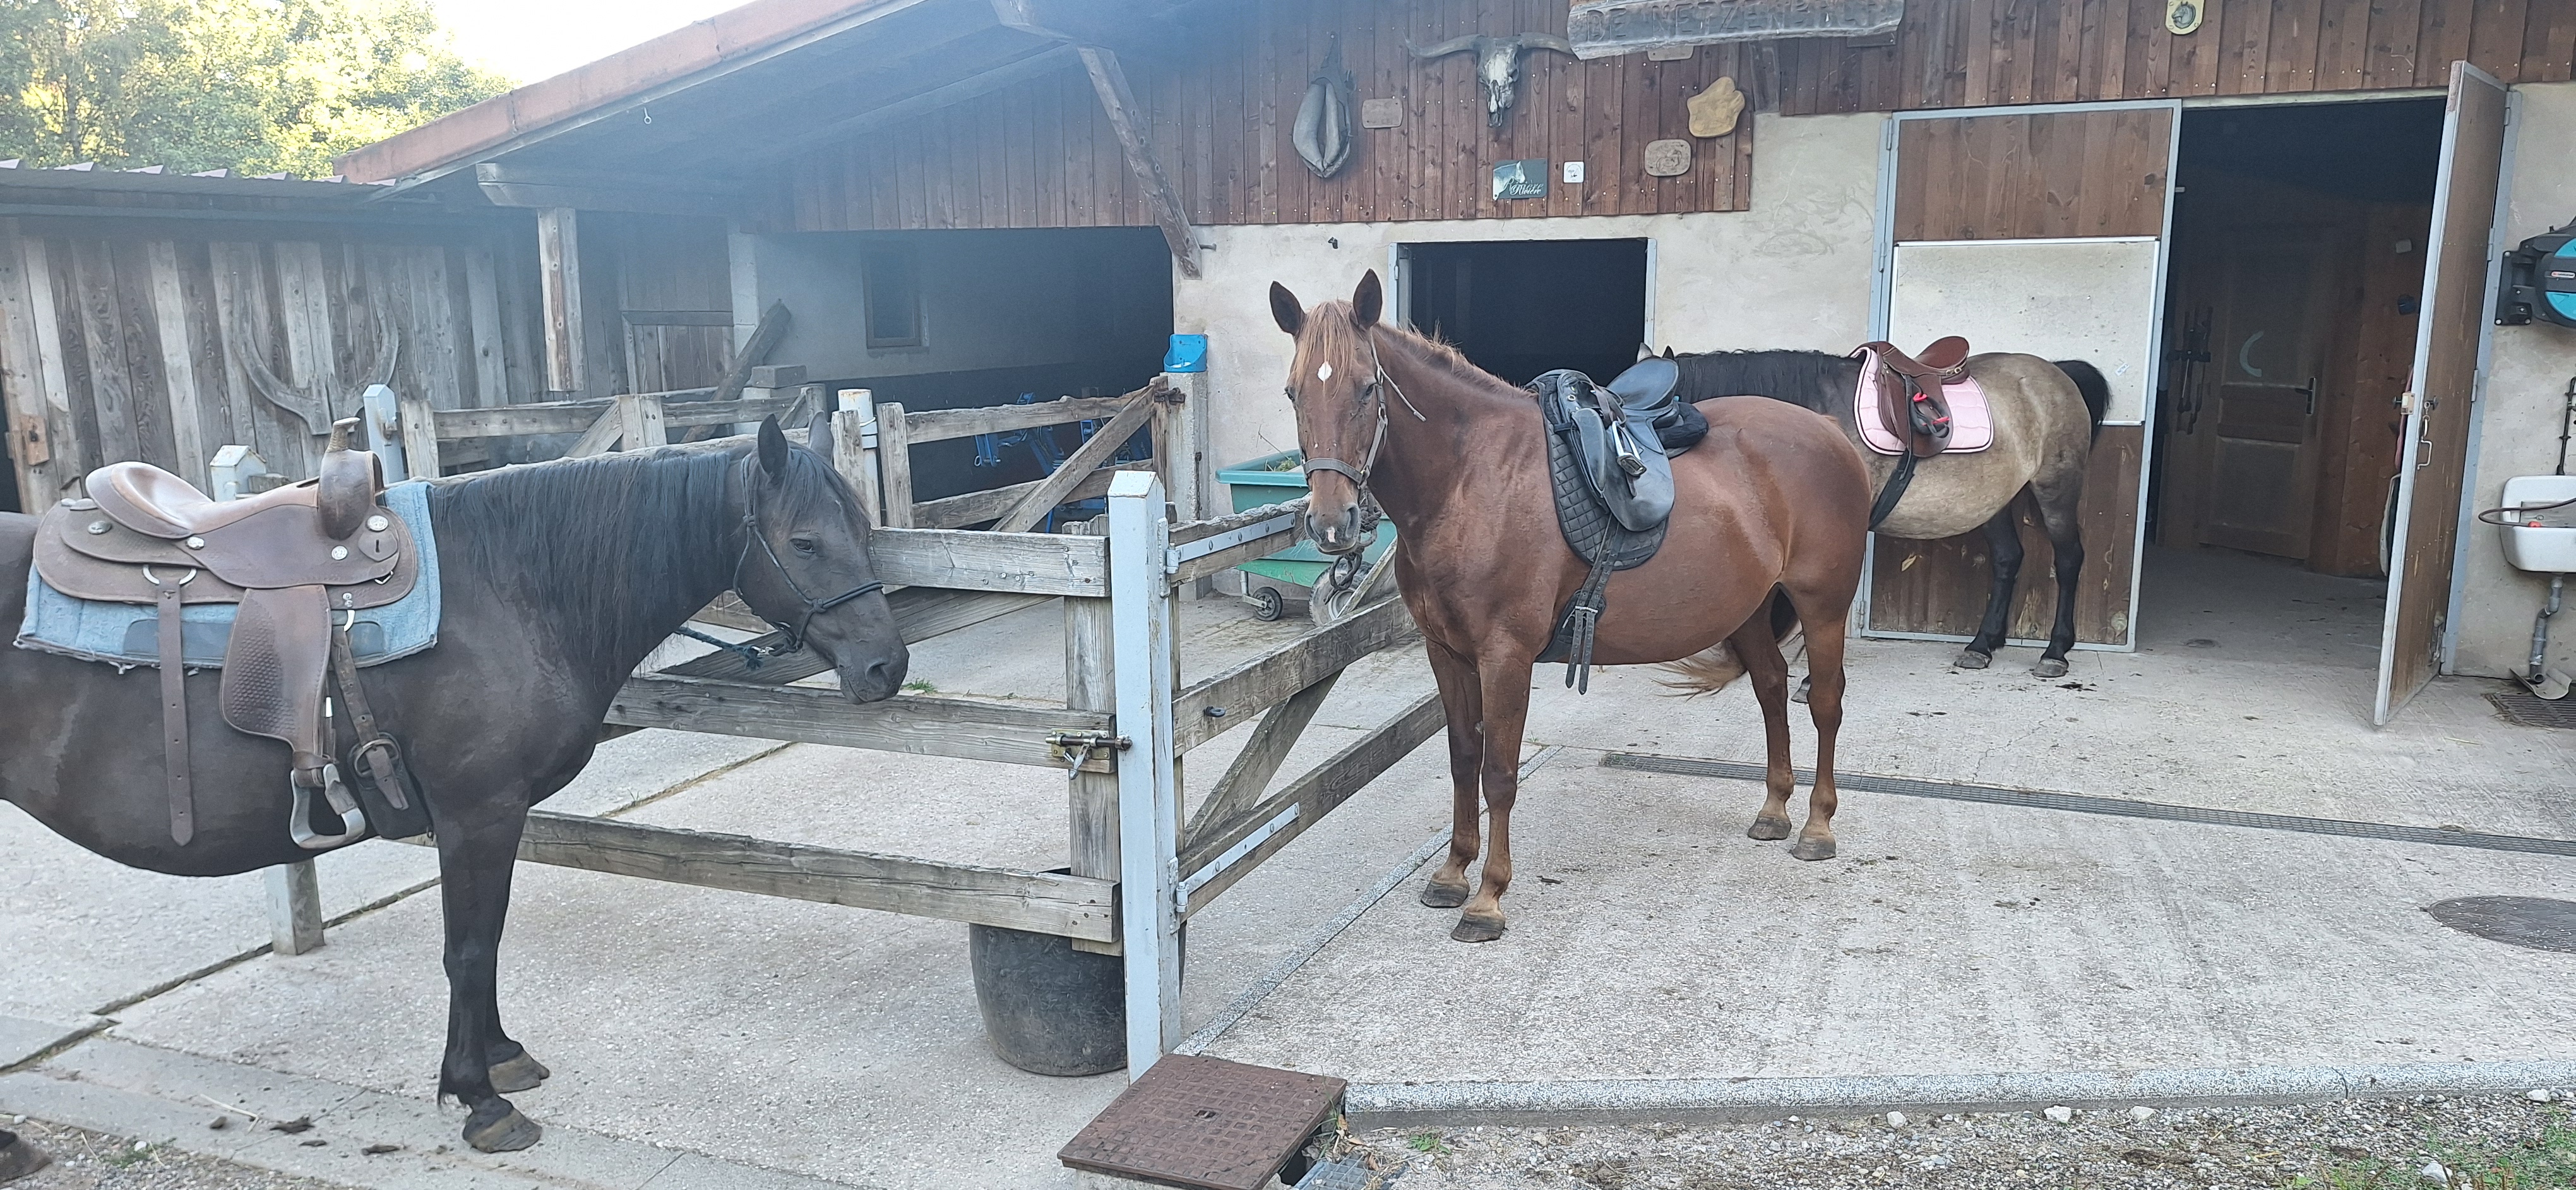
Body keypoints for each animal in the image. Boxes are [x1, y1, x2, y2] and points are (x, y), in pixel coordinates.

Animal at [0, 416, 907, 1154]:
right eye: (804, 543)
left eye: (863, 530)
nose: (886, 667)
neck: (505, 588)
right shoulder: (478, 812)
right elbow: (469, 947)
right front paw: (478, 1099)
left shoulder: (486, 818)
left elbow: (487, 942)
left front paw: (501, 1060)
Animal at [1270, 273, 1873, 943]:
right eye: (1294, 392)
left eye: (1367, 387)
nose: (1332, 524)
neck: (1471, 479)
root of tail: (1829, 432)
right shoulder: (1446, 652)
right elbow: (1462, 759)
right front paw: (1452, 874)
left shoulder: (1505, 657)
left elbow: (1499, 774)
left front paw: (1488, 900)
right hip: (1746, 611)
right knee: (1771, 686)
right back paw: (1774, 810)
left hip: (1823, 607)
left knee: (1824, 702)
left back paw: (1817, 827)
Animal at [1651, 346, 2108, 677]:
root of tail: (2057, 372)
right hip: (1995, 500)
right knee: (2008, 559)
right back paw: (1981, 646)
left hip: (2056, 489)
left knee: (2069, 560)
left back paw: (2055, 653)